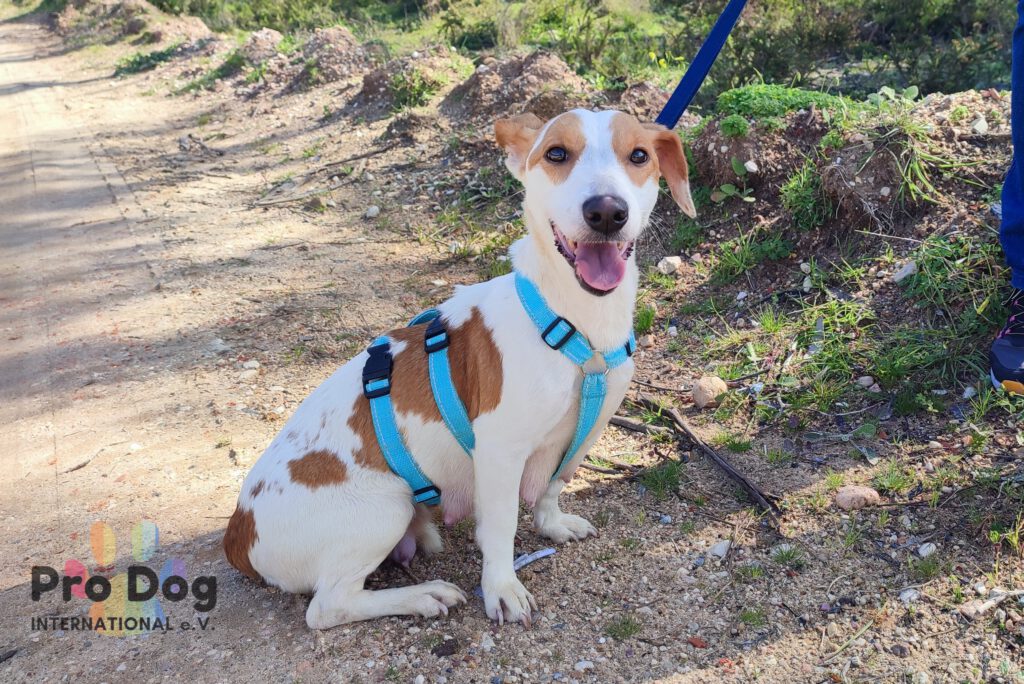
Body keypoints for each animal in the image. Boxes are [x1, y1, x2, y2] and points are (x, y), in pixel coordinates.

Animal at [223, 108, 696, 629]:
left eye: (639, 156)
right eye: (556, 153)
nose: (607, 212)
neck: (574, 321)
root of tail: (238, 533)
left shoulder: (581, 433)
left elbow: (552, 487)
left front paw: (551, 525)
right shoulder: (500, 451)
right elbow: (502, 527)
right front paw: (502, 587)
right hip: (385, 504)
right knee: (328, 606)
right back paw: (424, 595)